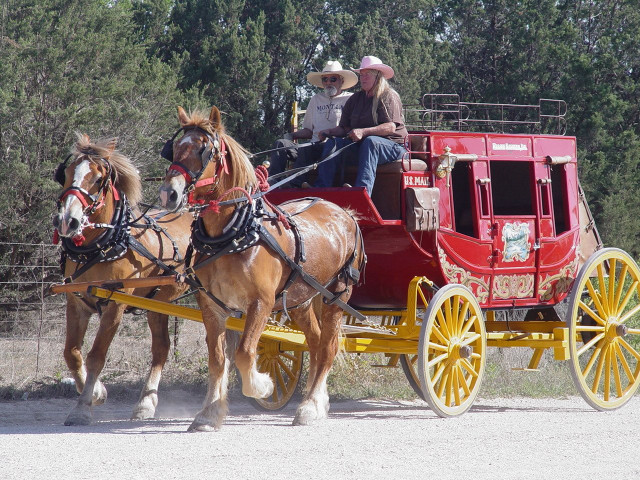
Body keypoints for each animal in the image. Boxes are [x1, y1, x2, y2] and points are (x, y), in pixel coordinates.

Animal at [52, 133, 193, 426]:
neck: (103, 244)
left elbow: (96, 355)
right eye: (67, 174)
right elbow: (72, 353)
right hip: (158, 304)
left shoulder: (114, 305)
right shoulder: (77, 302)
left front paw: (83, 407)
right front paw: (97, 393)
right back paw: (146, 404)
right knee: (161, 348)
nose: (68, 221)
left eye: (97, 179)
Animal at [158, 106, 365, 430]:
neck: (233, 235)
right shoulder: (212, 304)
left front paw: (263, 385)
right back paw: (315, 402)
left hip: (337, 294)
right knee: (316, 342)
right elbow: (218, 358)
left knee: (328, 347)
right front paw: (209, 414)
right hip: (300, 299)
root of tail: (344, 212)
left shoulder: (261, 303)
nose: (169, 194)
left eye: (205, 150)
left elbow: (244, 353)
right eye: (175, 148)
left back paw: (310, 407)